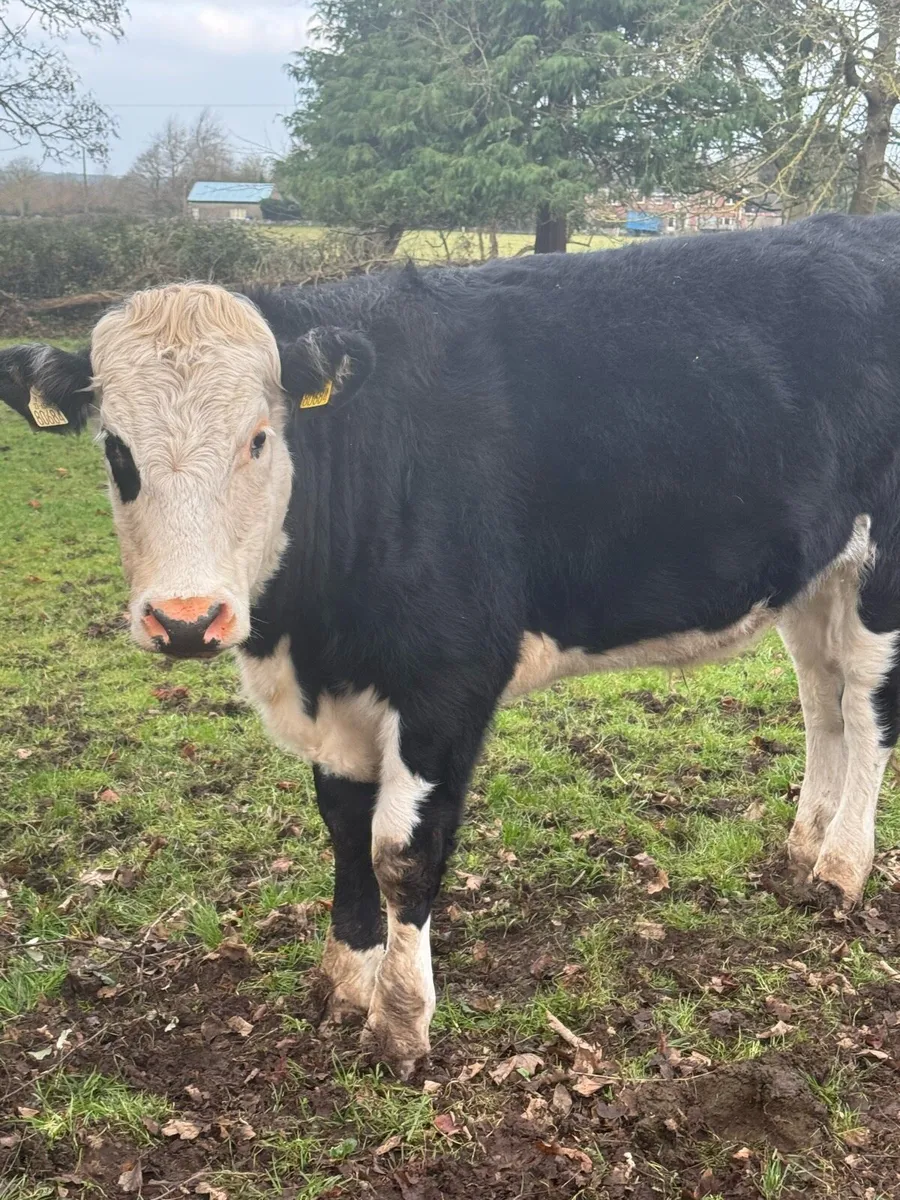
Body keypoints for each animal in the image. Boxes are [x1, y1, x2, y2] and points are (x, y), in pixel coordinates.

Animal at [3, 213, 900, 1078]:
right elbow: (342, 824)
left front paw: (400, 1025)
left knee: (868, 707)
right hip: (811, 573)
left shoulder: (449, 679)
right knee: (820, 698)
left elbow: (401, 851)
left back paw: (841, 868)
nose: (186, 619)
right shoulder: (341, 700)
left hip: (880, 571)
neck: (307, 641)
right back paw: (803, 846)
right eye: (115, 449)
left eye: (258, 438)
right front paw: (344, 979)